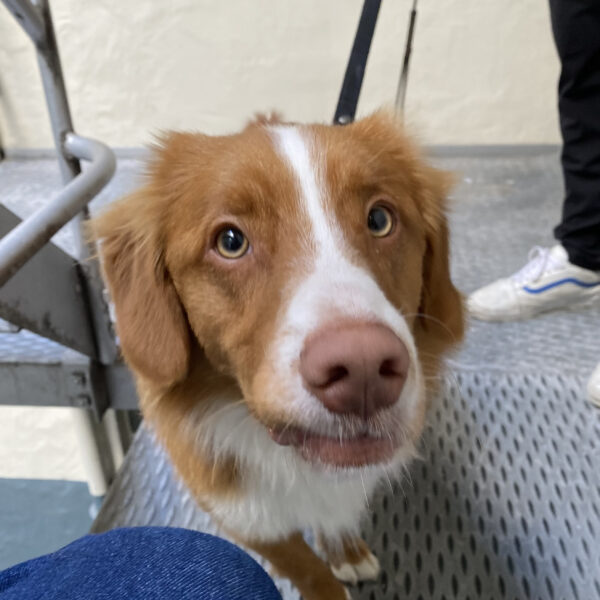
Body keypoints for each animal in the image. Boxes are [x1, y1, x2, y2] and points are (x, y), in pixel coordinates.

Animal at [94, 110, 464, 596]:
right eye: (230, 241)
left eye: (380, 219)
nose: (363, 368)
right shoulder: (243, 515)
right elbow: (308, 570)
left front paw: (344, 548)